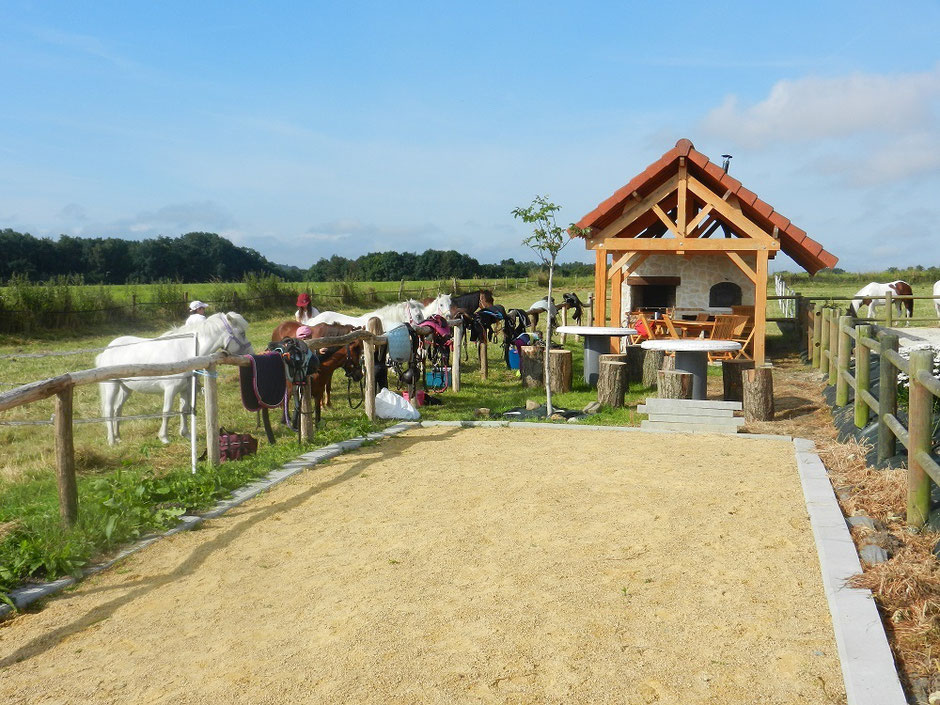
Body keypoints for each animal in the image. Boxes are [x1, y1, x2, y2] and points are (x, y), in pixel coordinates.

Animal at [95, 310, 253, 442]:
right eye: (242, 333)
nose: (251, 353)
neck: (185, 353)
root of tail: (107, 350)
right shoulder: (170, 389)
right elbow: (167, 411)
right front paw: (164, 437)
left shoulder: (185, 389)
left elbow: (184, 409)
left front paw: (186, 434)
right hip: (112, 386)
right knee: (109, 410)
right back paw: (112, 440)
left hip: (126, 388)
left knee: (118, 409)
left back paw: (118, 436)